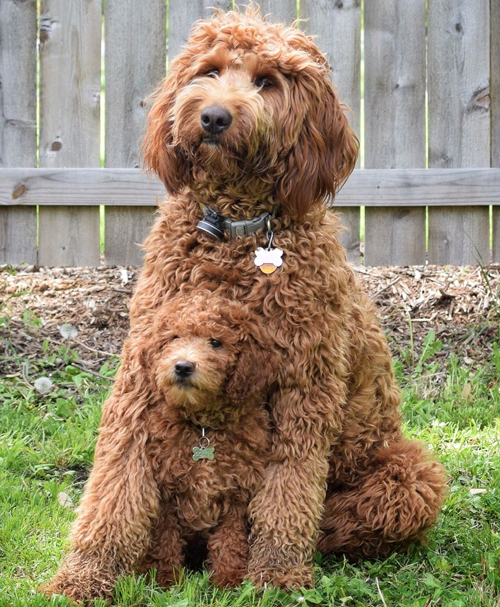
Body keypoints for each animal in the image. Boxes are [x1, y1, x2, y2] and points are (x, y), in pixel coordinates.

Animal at [42, 296, 276, 604]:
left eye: (216, 342)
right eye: (174, 338)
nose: (183, 366)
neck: (202, 427)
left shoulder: (237, 495)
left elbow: (230, 541)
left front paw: (228, 580)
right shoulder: (165, 491)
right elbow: (164, 540)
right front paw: (165, 580)